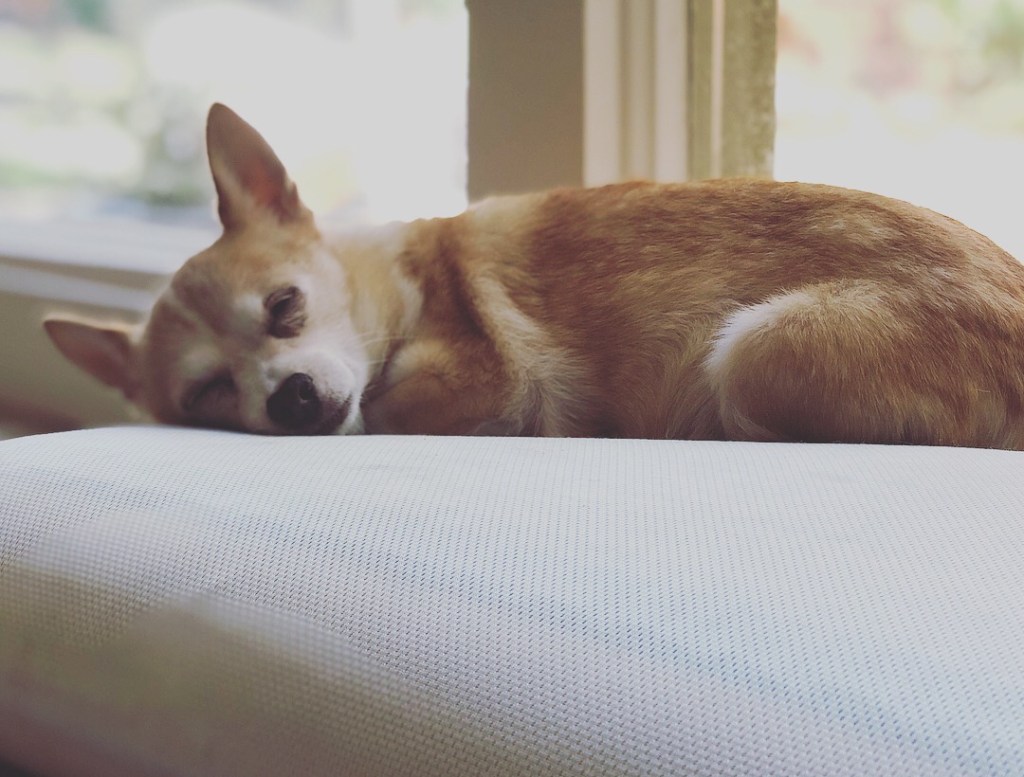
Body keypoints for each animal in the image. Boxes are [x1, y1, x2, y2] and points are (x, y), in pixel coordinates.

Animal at [43, 103, 1024, 448]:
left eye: (286, 307)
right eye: (207, 393)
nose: (288, 398)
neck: (397, 288)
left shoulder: (493, 379)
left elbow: (394, 406)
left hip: (756, 349)